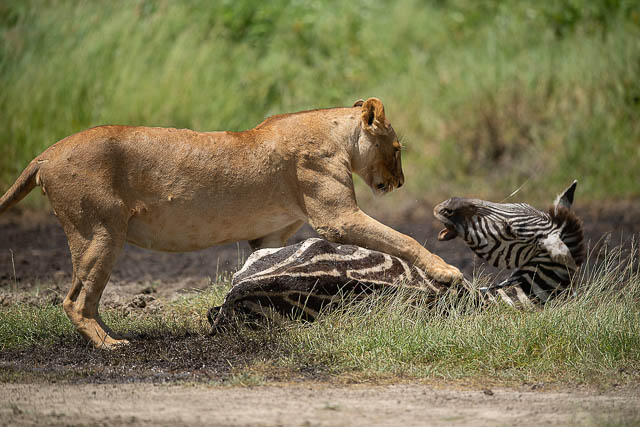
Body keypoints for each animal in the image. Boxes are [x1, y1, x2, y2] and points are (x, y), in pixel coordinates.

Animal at [0, 98, 462, 348]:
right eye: (397, 149)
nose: (400, 183)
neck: (338, 139)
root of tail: (44, 154)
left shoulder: (269, 234)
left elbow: (262, 269)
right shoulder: (338, 218)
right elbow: (402, 239)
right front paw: (446, 272)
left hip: (100, 236)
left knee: (84, 299)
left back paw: (110, 332)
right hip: (100, 232)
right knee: (74, 300)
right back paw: (110, 345)